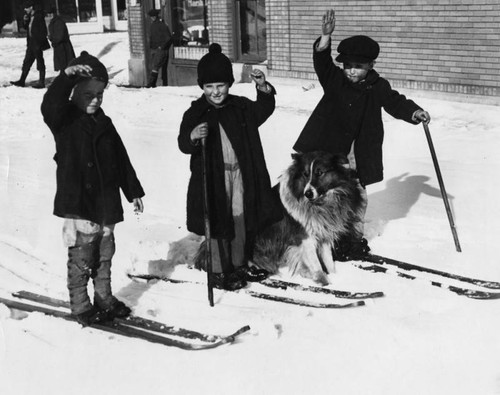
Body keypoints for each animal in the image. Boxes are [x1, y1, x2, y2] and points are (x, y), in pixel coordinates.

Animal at [254, 150, 364, 284]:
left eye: (320, 172)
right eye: (305, 174)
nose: (308, 193)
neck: (319, 204)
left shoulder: (323, 235)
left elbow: (328, 261)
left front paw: (334, 276)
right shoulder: (305, 238)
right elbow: (316, 265)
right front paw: (325, 282)